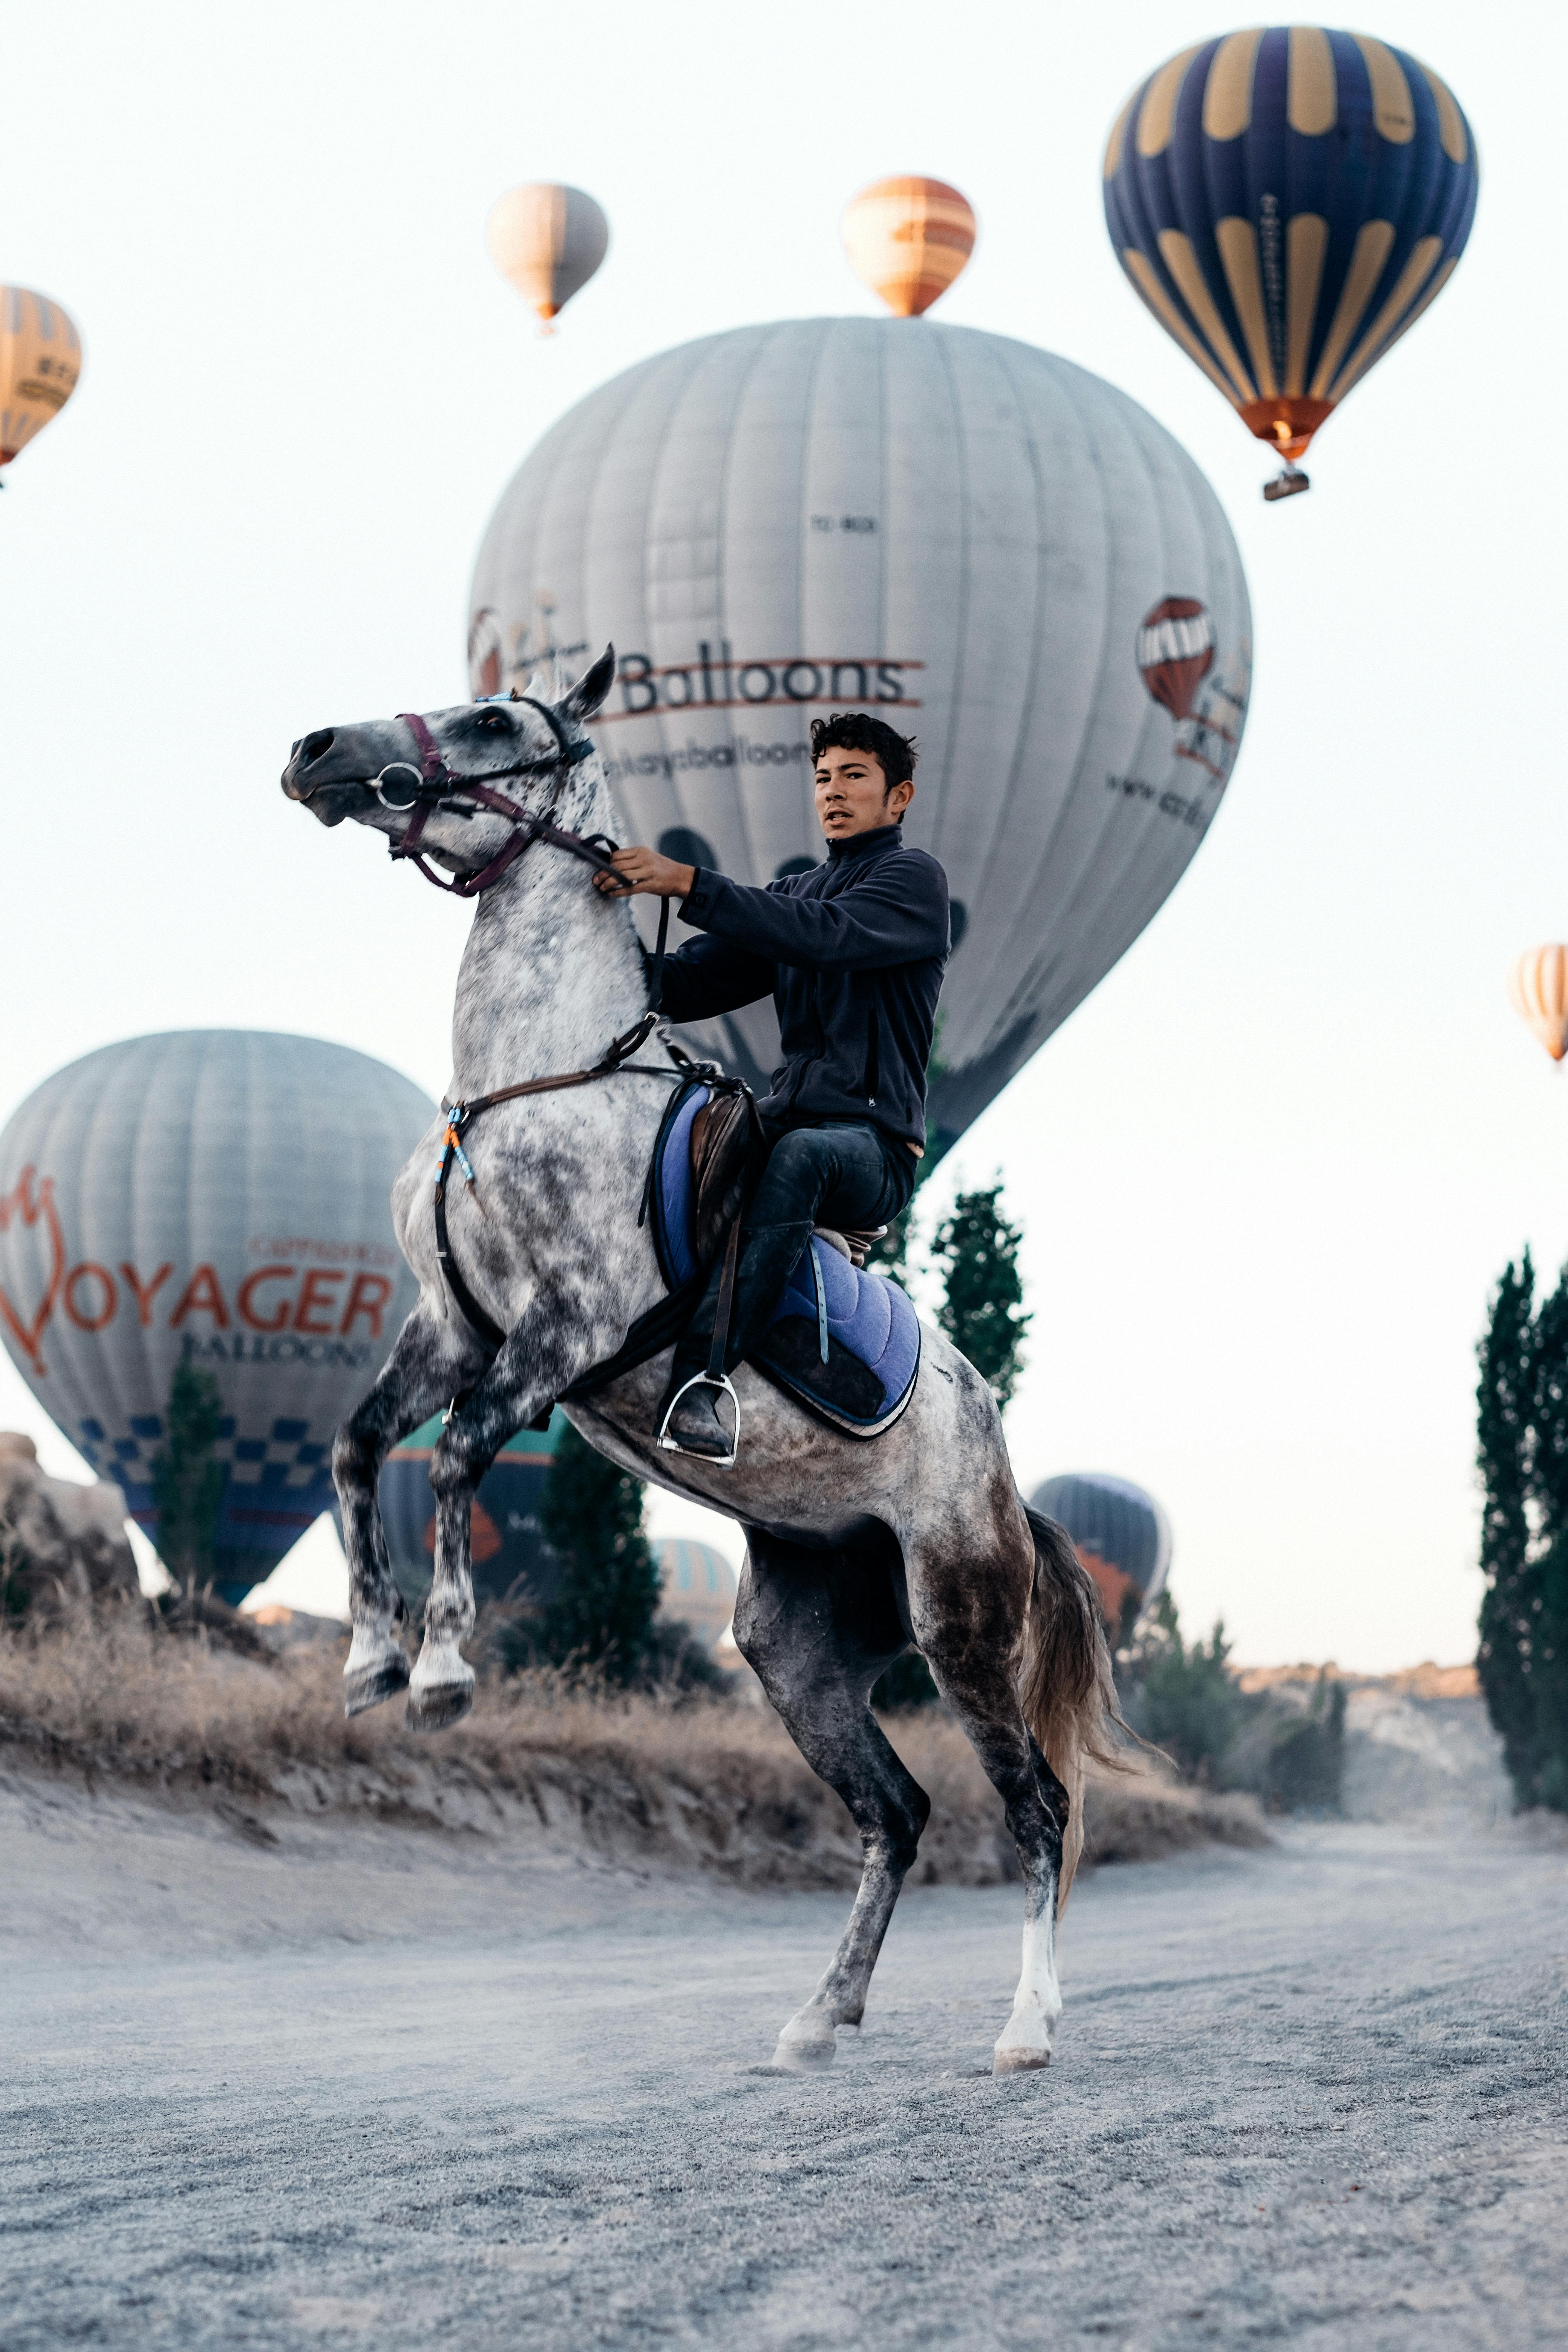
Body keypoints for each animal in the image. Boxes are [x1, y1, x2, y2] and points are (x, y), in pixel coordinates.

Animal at [282, 654, 1114, 2070]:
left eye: (493, 719)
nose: (316, 750)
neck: (532, 1084)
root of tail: (1007, 1484)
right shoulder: (452, 1329)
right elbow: (357, 1446)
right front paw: (368, 1664)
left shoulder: (562, 1334)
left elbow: (453, 1460)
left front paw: (442, 1672)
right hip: (796, 1652)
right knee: (895, 1813)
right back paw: (819, 2019)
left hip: (961, 1625)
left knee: (1037, 1809)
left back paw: (1025, 2028)